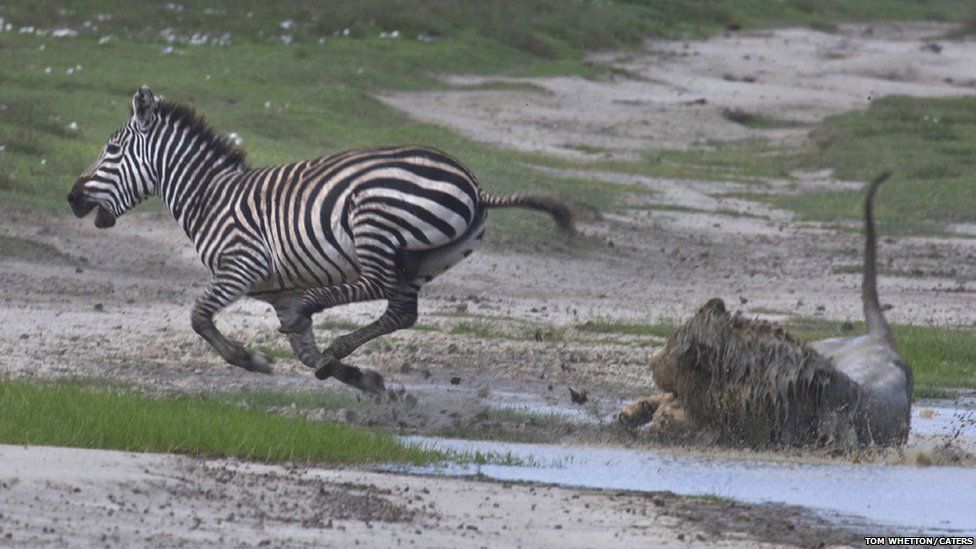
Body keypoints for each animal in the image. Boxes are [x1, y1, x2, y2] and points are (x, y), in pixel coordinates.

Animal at [68, 86, 576, 394]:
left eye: (111, 150)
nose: (72, 198)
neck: (209, 196)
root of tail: (473, 183)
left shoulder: (243, 264)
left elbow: (199, 318)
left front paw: (251, 359)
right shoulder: (279, 291)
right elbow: (304, 351)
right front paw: (360, 379)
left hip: (373, 219)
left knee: (375, 287)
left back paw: (319, 311)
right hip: (432, 258)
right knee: (401, 310)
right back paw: (337, 351)